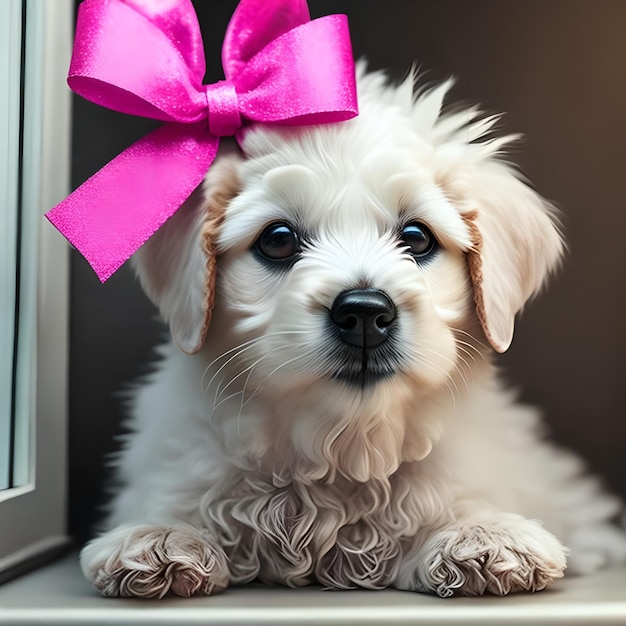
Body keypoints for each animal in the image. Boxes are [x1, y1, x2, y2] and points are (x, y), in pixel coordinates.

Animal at [80, 67, 620, 596]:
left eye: (417, 238)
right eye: (278, 240)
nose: (364, 313)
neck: (346, 446)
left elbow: (465, 500)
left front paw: (482, 533)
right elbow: (179, 496)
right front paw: (163, 535)